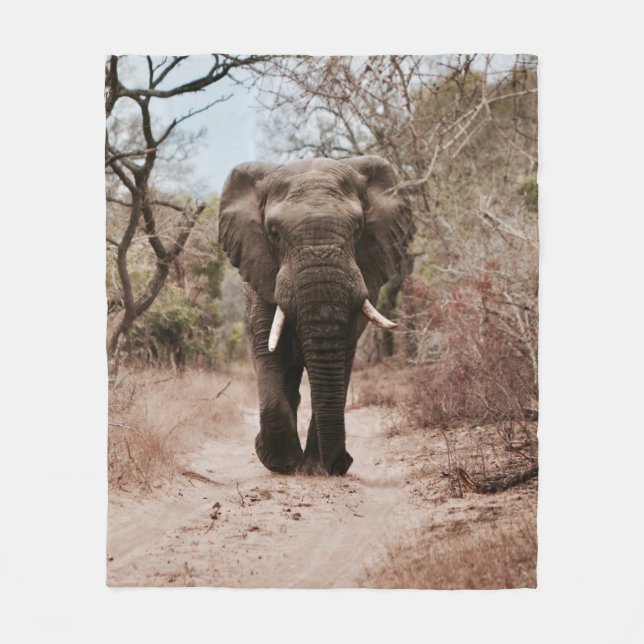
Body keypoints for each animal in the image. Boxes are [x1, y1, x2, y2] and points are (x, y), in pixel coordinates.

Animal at [219, 156, 413, 476]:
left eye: (358, 228)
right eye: (274, 233)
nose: (342, 462)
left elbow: (342, 354)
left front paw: (315, 468)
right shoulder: (262, 273)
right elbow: (271, 352)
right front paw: (281, 464)